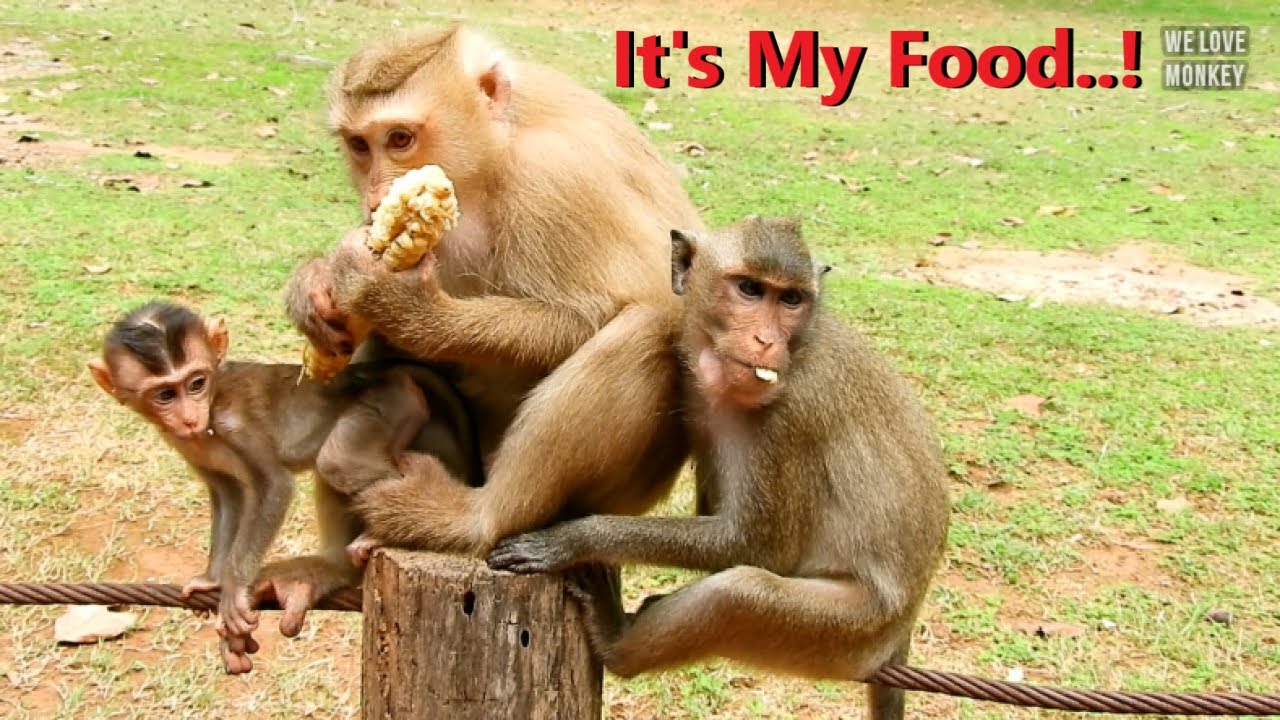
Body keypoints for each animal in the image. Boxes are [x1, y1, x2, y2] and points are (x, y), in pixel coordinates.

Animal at [88, 301, 480, 674]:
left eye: (196, 383)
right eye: (165, 395)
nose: (189, 418)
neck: (213, 400)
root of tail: (385, 371)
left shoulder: (235, 425)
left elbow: (273, 485)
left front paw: (234, 589)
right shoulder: (187, 444)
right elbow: (228, 494)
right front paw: (212, 580)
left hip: (390, 402)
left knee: (338, 462)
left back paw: (395, 528)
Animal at [274, 23, 705, 629]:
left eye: (400, 139)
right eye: (360, 145)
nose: (377, 195)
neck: (494, 150)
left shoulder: (554, 178)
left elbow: (620, 308)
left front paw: (401, 304)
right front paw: (314, 288)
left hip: (615, 499)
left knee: (649, 327)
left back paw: (475, 520)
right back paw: (334, 565)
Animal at [486, 217, 951, 720]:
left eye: (791, 299)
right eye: (749, 289)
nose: (766, 342)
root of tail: (900, 630)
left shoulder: (793, 413)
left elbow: (760, 547)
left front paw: (575, 538)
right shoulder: (695, 392)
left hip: (847, 633)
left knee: (740, 594)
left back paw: (617, 644)